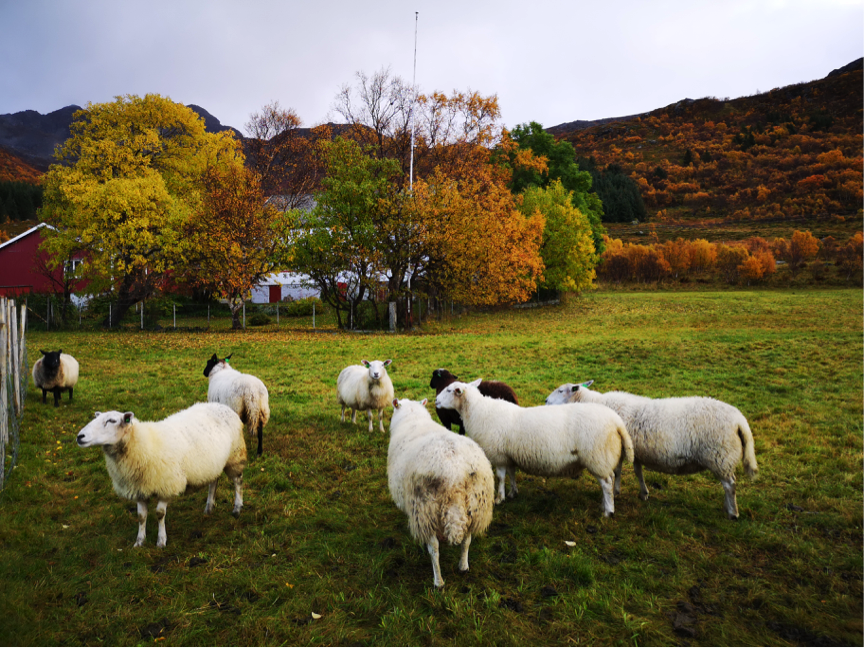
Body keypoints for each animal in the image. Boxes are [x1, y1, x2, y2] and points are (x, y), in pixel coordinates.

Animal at [76, 404, 248, 548]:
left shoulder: (167, 485)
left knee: (238, 481)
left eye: (111, 420)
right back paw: (209, 507)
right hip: (214, 463)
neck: (142, 444)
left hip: (235, 456)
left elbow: (160, 514)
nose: (79, 436)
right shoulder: (139, 489)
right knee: (214, 481)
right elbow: (141, 516)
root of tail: (223, 405)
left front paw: (161, 541)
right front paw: (139, 541)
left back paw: (237, 508)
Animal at [390, 398, 496, 588]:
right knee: (466, 540)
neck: (413, 418)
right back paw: (463, 566)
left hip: (426, 509)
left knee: (434, 548)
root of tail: (454, 473)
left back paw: (438, 581)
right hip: (474, 506)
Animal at [548, 382, 756, 520]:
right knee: (728, 485)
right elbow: (637, 472)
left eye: (561, 390)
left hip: (720, 456)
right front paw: (643, 493)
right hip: (722, 458)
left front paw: (615, 492)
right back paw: (727, 507)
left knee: (730, 485)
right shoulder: (634, 450)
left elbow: (618, 471)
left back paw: (733, 513)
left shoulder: (618, 447)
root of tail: (740, 420)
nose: (546, 400)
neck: (597, 402)